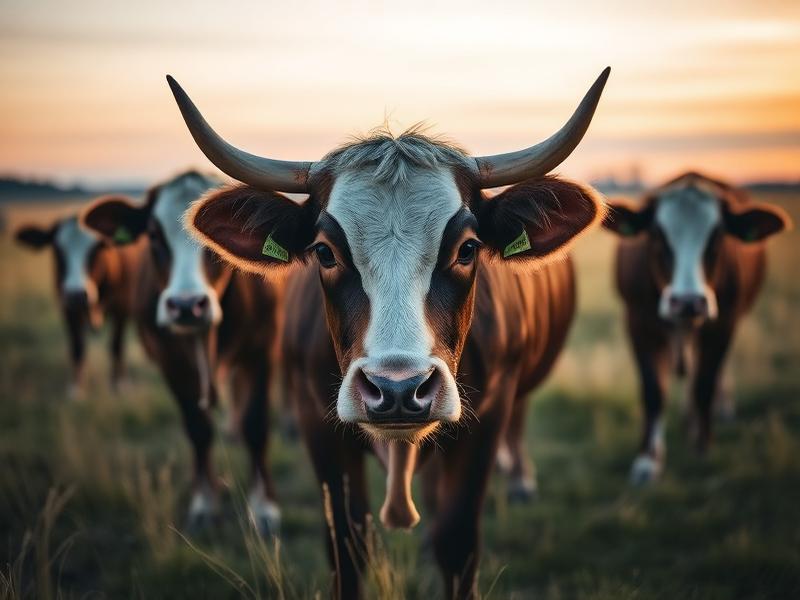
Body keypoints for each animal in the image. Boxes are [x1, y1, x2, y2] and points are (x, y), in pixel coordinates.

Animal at [15, 210, 139, 397]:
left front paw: (119, 384)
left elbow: (116, 345)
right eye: (58, 251)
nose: (76, 295)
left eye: (97, 249)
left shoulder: (122, 307)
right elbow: (77, 347)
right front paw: (76, 388)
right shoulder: (68, 309)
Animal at [80, 171, 282, 533]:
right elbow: (198, 429)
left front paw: (264, 507)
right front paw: (204, 502)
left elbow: (256, 425)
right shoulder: (170, 361)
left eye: (213, 239)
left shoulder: (262, 348)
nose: (187, 306)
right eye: (153, 235)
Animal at [167, 68, 610, 598]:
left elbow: (456, 541)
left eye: (468, 248)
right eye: (324, 251)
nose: (398, 389)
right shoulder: (317, 423)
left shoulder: (487, 418)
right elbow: (348, 543)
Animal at [602, 172, 792, 484]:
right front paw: (648, 460)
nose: (688, 302)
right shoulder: (637, 322)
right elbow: (654, 391)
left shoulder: (723, 323)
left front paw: (702, 447)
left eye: (717, 237)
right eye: (657, 235)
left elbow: (705, 383)